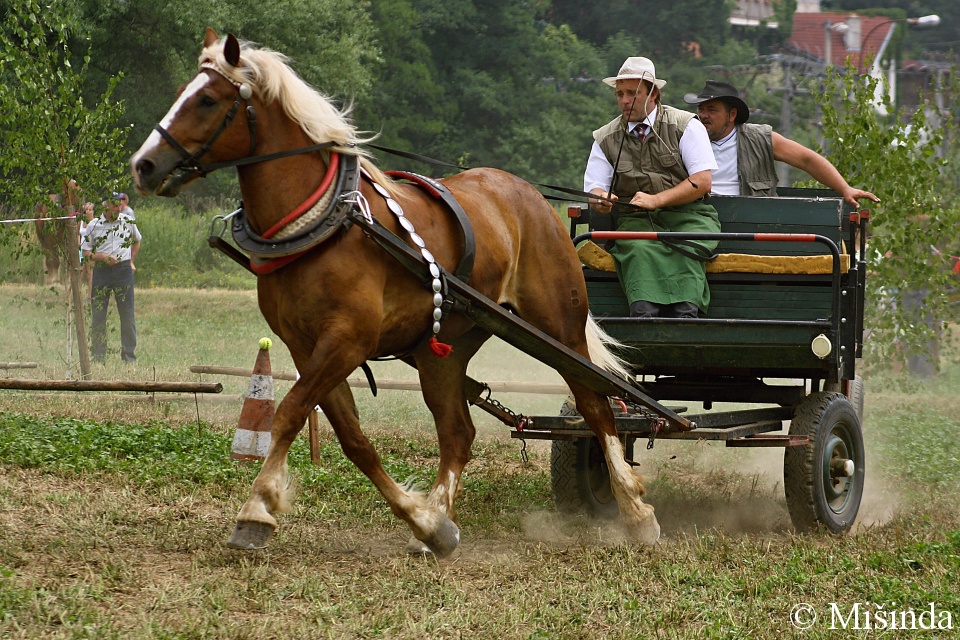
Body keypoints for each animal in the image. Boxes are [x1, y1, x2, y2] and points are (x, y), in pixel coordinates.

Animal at [129, 30, 660, 556]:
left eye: (207, 100)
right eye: (183, 91)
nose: (144, 165)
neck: (326, 225)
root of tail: (530, 195)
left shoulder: (347, 340)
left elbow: (289, 413)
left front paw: (256, 509)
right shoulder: (306, 346)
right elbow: (352, 438)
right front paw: (426, 522)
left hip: (559, 327)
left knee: (595, 407)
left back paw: (635, 511)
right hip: (445, 348)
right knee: (458, 432)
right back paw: (441, 515)